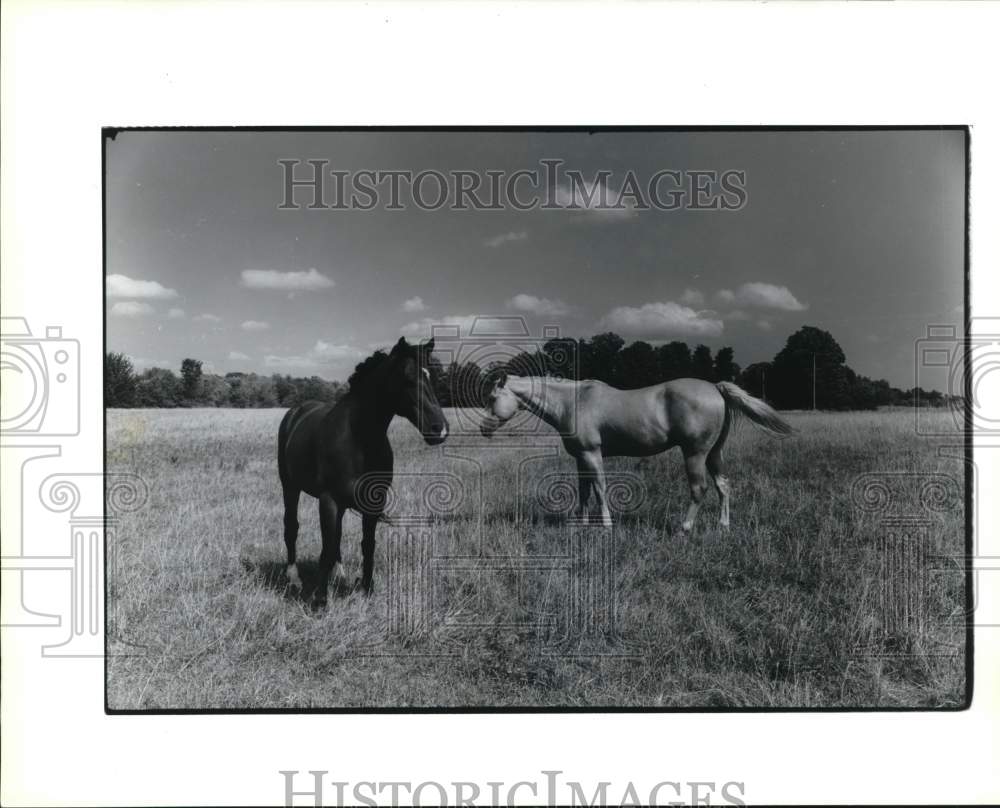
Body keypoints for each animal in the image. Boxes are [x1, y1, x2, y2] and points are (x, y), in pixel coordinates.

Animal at [277, 337, 448, 605]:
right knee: (291, 527)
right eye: (407, 377)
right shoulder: (328, 499)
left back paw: (339, 575)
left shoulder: (373, 502)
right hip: (290, 487)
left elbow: (367, 544)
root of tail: (295, 412)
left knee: (336, 536)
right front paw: (320, 601)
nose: (439, 429)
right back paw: (294, 578)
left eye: (434, 377)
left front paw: (366, 588)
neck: (358, 439)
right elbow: (326, 549)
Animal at [480, 374, 793, 532]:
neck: (573, 401)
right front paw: (580, 522)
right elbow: (583, 490)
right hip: (714, 453)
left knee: (699, 489)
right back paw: (723, 524)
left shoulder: (592, 454)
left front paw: (606, 525)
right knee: (723, 486)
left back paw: (685, 527)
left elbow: (600, 488)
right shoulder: (581, 457)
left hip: (695, 454)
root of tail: (716, 388)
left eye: (493, 397)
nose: (484, 428)